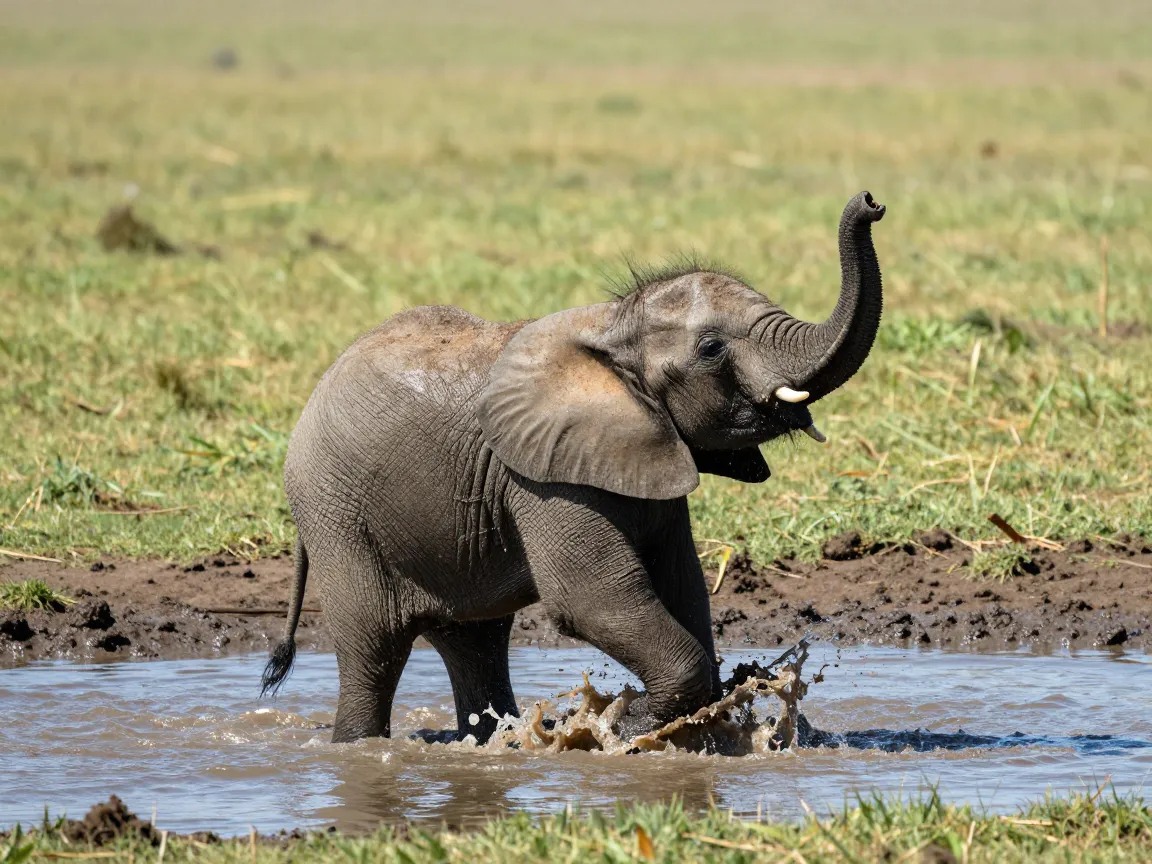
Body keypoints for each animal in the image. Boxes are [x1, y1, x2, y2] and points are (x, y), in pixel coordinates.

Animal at [261, 191, 886, 744]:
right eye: (711, 349)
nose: (871, 202)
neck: (612, 328)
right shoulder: (544, 478)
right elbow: (594, 599)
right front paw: (623, 728)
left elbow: (682, 585)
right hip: (337, 515)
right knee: (375, 648)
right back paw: (361, 748)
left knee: (475, 643)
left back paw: (495, 741)